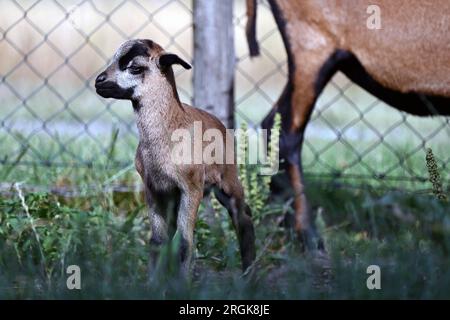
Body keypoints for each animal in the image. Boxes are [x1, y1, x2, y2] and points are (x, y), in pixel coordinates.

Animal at [94, 38, 256, 276]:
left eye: (135, 67)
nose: (99, 81)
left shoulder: (191, 188)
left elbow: (185, 243)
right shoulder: (154, 189)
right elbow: (158, 241)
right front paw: (154, 281)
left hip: (227, 178)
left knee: (243, 215)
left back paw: (249, 273)